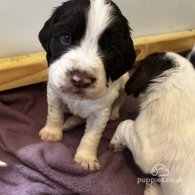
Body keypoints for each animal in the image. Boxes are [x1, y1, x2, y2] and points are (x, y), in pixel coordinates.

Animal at [38, 0, 136, 171]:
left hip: (124, 81)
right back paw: (68, 123)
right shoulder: (54, 92)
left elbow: (92, 136)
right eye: (66, 37)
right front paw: (52, 133)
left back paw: (112, 114)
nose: (80, 79)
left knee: (119, 100)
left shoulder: (100, 112)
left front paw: (85, 158)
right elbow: (54, 114)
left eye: (109, 50)